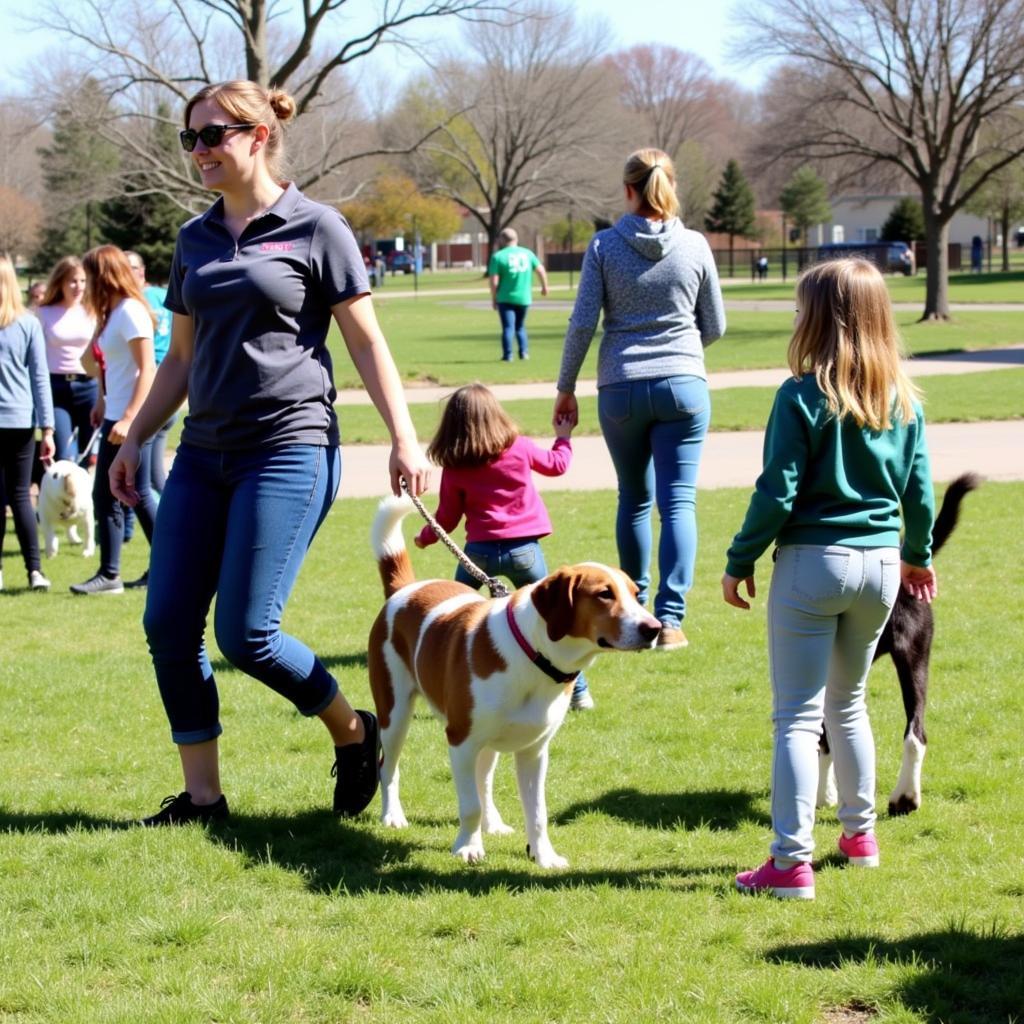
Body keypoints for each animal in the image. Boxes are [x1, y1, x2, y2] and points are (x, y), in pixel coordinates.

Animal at [368, 499, 663, 868]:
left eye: (636, 594)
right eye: (604, 594)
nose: (654, 628)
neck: (534, 656)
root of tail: (405, 589)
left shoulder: (534, 751)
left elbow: (536, 813)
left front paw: (543, 855)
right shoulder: (460, 741)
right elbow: (469, 806)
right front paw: (468, 847)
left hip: (489, 742)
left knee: (484, 780)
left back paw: (493, 823)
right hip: (395, 714)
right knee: (388, 767)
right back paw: (393, 815)